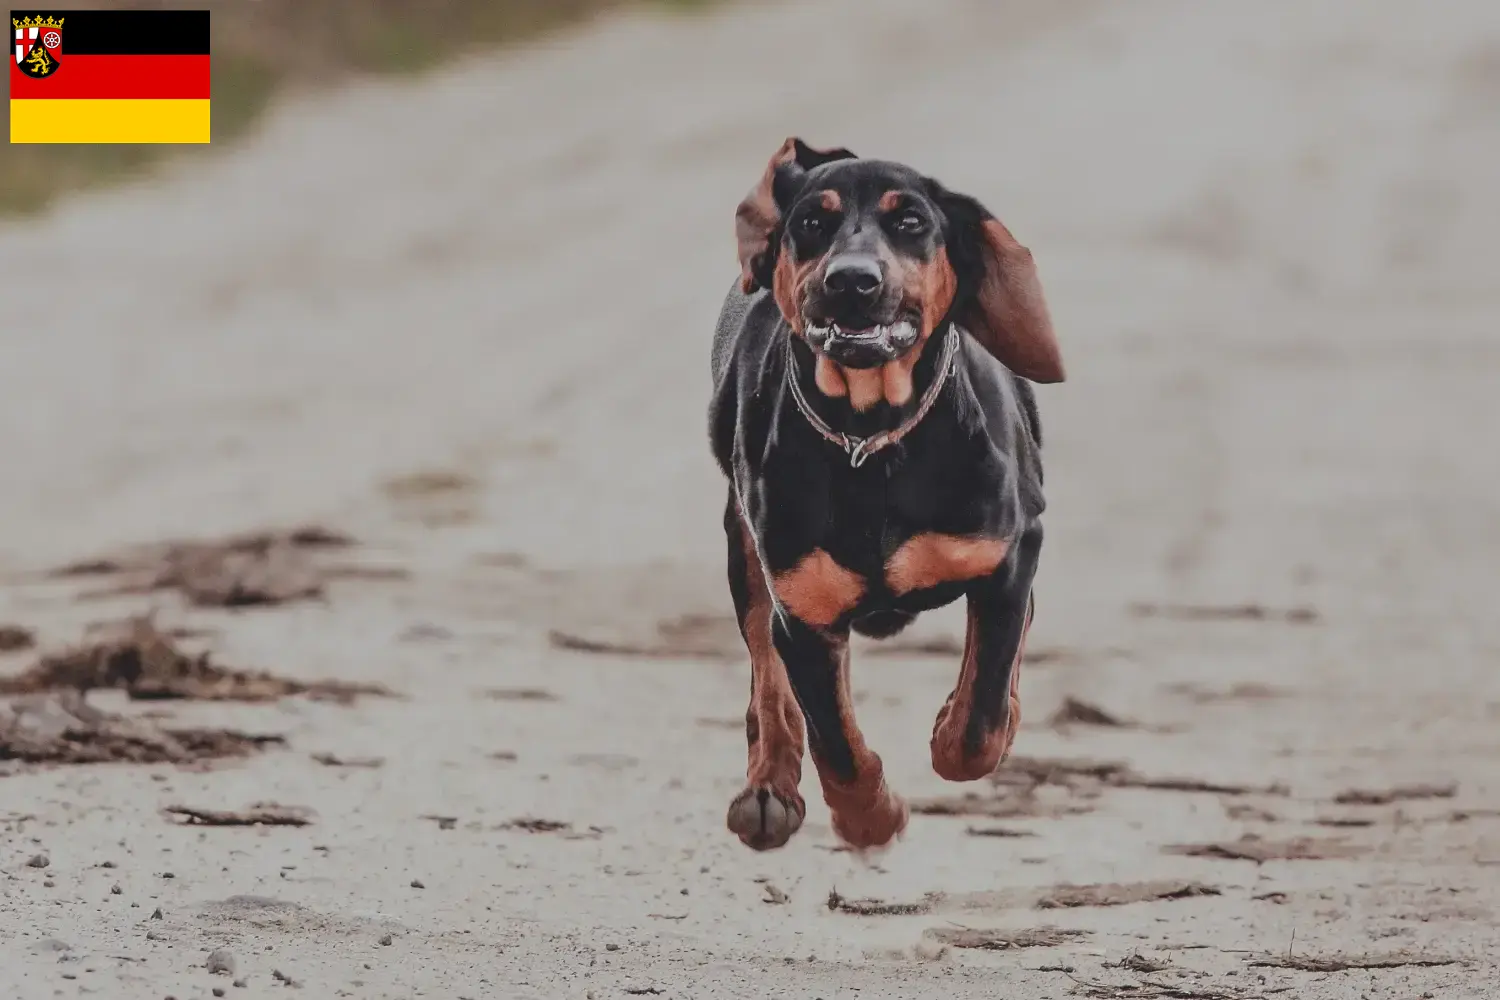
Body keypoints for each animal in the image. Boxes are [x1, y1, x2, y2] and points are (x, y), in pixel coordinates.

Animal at [708, 137, 1062, 851]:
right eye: (812, 223)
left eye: (911, 222)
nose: (851, 280)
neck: (869, 436)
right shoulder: (803, 611)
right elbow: (833, 738)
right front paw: (869, 818)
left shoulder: (1009, 557)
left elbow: (981, 712)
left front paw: (958, 730)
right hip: (745, 550)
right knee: (767, 678)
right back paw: (767, 793)